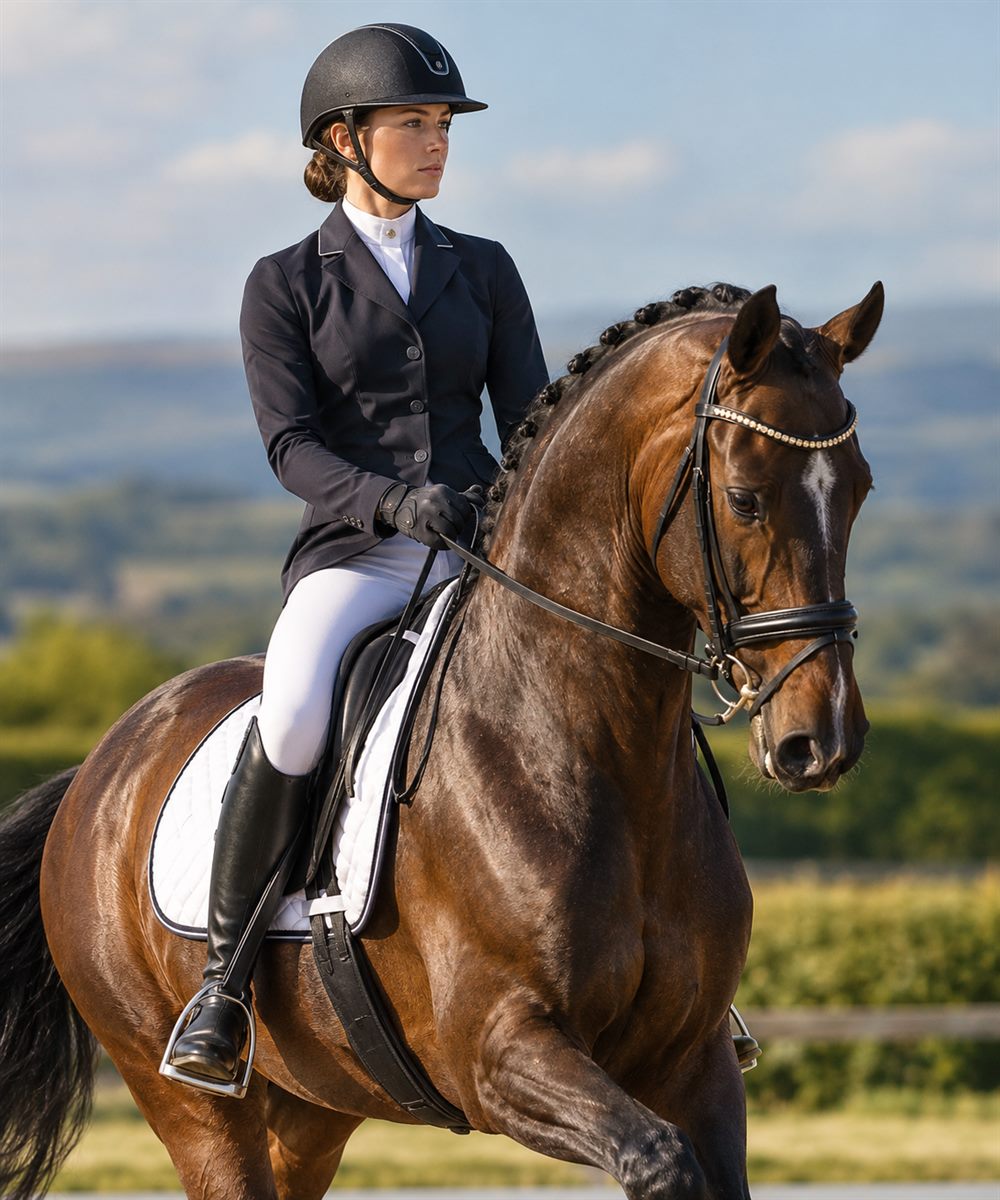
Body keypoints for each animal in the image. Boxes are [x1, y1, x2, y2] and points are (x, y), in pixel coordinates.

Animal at [0, 280, 882, 1200]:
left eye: (859, 489)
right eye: (745, 497)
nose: (822, 737)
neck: (601, 753)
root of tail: (101, 767)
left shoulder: (696, 1062)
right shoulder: (498, 1051)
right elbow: (659, 1160)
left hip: (313, 1104)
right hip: (185, 1097)